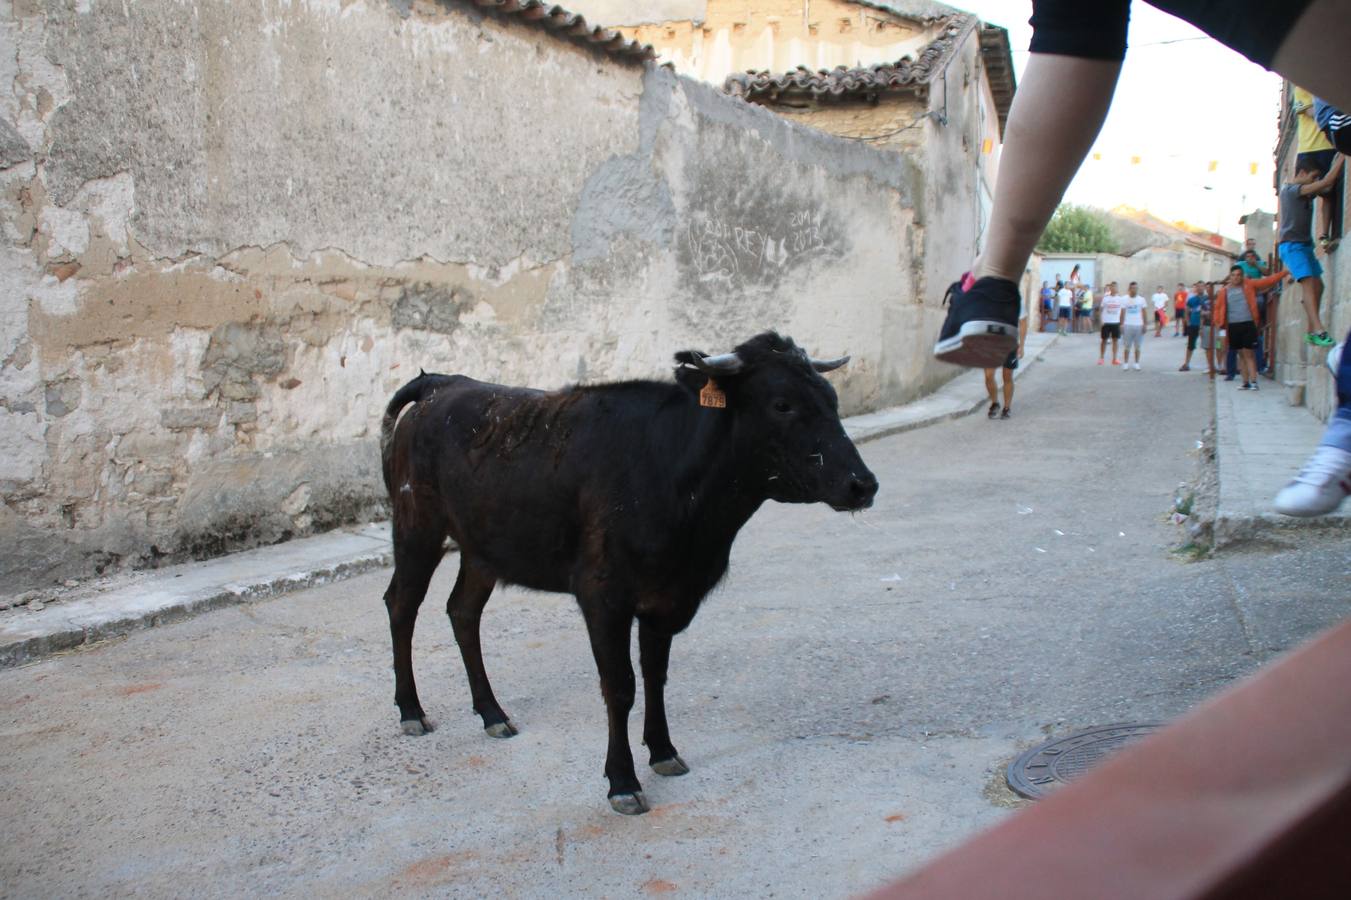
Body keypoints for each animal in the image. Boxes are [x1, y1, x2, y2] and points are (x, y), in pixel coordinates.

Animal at [380, 331, 880, 810]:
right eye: (782, 404)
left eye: (831, 399)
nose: (863, 485)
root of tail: (442, 384)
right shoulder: (603, 596)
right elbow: (620, 686)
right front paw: (622, 781)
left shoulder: (667, 598)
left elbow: (655, 676)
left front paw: (662, 751)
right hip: (416, 527)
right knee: (401, 605)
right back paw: (411, 711)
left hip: (481, 547)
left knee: (462, 612)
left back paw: (493, 714)